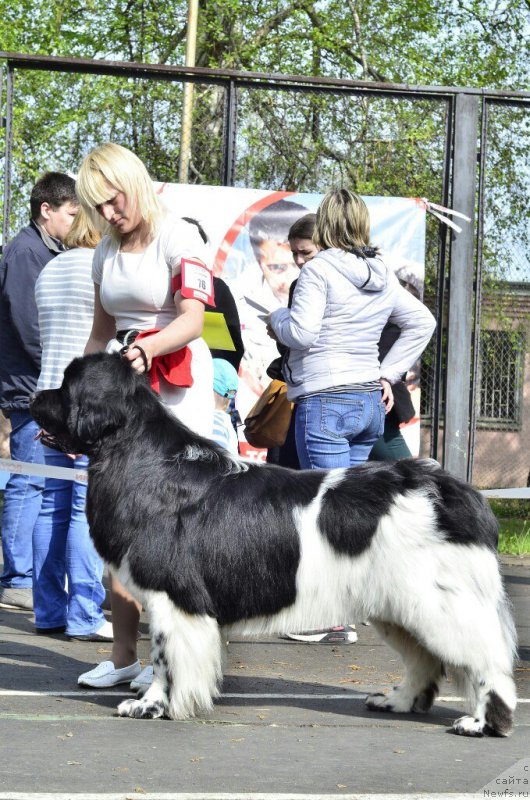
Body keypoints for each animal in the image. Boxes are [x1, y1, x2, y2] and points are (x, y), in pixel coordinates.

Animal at [29, 354, 516, 736]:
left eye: (67, 387)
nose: (32, 396)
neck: (139, 456)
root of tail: (457, 493)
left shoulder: (173, 598)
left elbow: (166, 658)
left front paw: (151, 706)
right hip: (400, 606)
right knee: (423, 660)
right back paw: (396, 701)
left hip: (440, 604)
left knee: (485, 660)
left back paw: (482, 723)